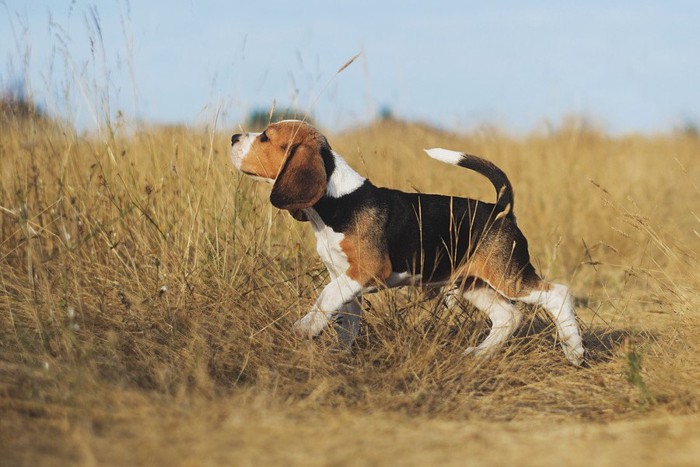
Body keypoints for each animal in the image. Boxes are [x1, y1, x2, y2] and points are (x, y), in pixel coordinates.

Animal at [231, 119, 584, 366]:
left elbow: (324, 297)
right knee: (508, 317)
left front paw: (305, 327)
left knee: (557, 294)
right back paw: (478, 355)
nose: (233, 137)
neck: (337, 201)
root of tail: (500, 210)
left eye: (265, 137)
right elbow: (344, 318)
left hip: (508, 276)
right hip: (472, 283)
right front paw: (337, 355)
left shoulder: (365, 270)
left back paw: (574, 351)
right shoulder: (346, 279)